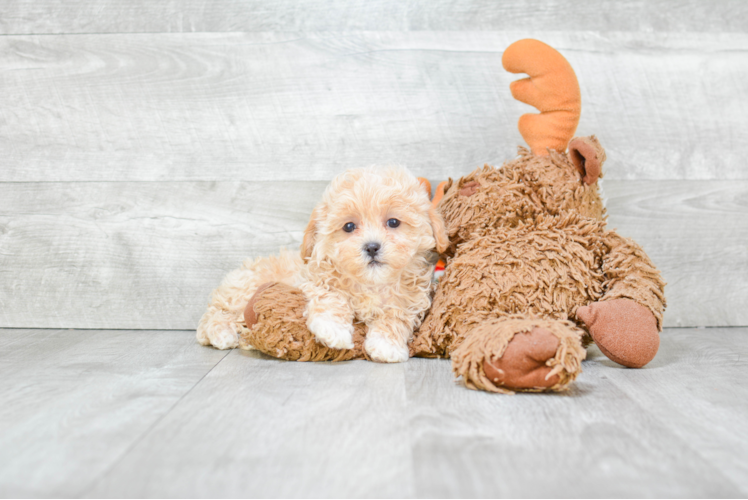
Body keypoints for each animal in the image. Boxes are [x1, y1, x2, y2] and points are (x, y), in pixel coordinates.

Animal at [196, 166, 448, 362]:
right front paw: (332, 330)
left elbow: (396, 317)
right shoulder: (315, 278)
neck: (370, 283)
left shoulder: (410, 299)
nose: (371, 247)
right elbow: (330, 296)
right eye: (349, 226)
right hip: (243, 290)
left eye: (393, 222)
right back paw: (222, 334)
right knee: (214, 315)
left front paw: (387, 346)